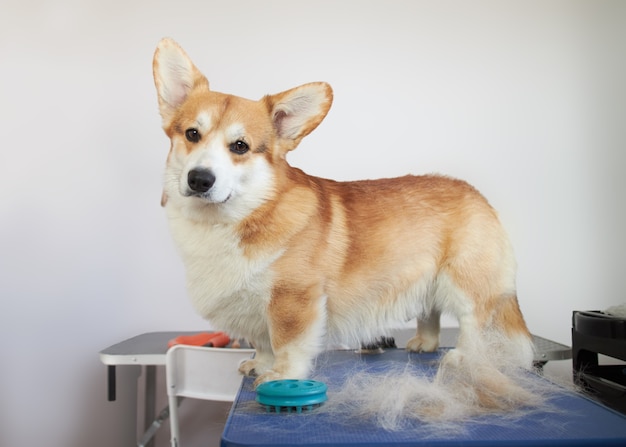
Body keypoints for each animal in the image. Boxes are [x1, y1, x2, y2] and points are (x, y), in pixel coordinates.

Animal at [154, 37, 532, 416]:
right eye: (192, 134)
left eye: (240, 146)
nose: (199, 179)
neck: (237, 216)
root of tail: (477, 195)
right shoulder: (253, 310)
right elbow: (263, 342)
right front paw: (259, 365)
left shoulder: (293, 300)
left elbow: (287, 344)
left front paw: (281, 377)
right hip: (426, 279)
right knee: (431, 312)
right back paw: (424, 344)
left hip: (464, 282)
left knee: (474, 323)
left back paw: (463, 358)